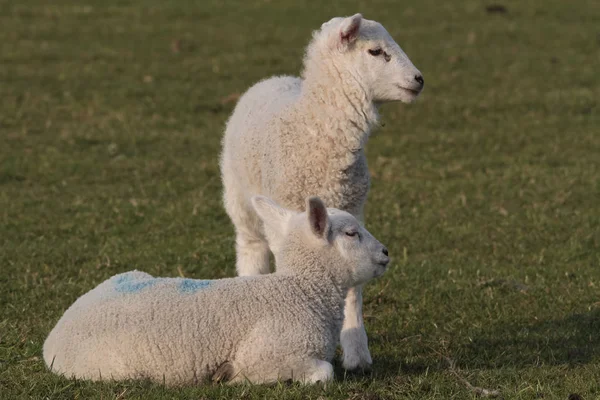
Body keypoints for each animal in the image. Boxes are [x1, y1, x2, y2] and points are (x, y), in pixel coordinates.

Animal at [42, 196, 390, 384]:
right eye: (351, 233)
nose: (386, 252)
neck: (301, 292)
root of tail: (56, 333)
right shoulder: (269, 353)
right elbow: (324, 372)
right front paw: (229, 376)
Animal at [219, 12, 422, 370]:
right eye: (375, 51)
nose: (419, 79)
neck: (315, 129)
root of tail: (273, 78)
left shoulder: (353, 211)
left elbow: (353, 287)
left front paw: (357, 353)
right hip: (241, 201)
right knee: (250, 250)